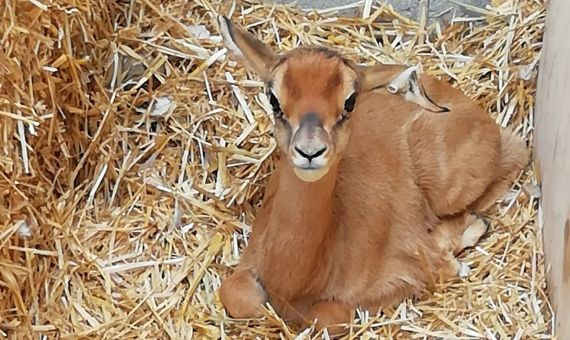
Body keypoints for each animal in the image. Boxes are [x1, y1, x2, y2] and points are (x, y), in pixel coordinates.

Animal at [215, 15, 524, 334]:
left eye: (350, 100)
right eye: (274, 98)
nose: (310, 151)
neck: (296, 282)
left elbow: (326, 316)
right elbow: (235, 294)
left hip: (450, 188)